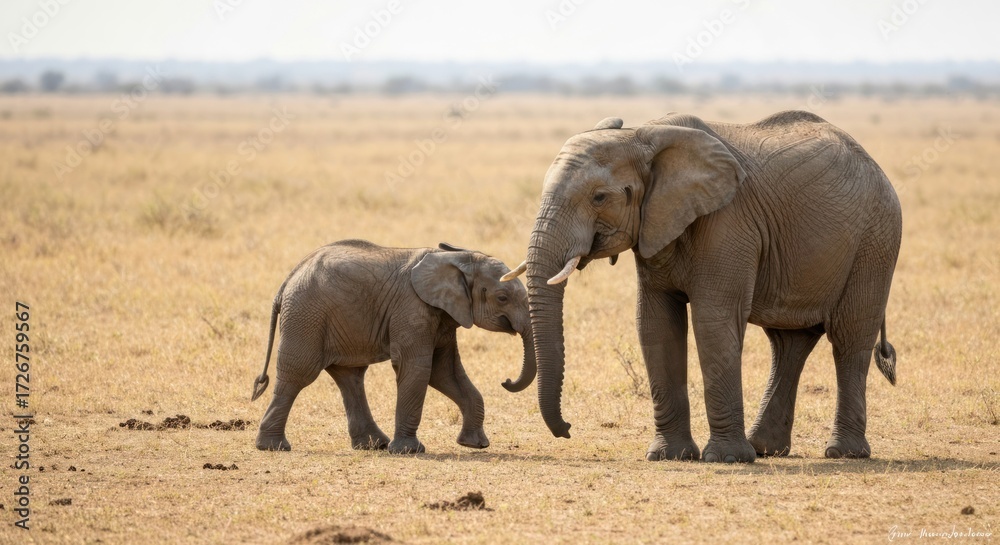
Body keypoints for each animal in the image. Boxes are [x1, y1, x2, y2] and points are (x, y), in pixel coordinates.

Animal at [251, 239, 535, 454]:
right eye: (502, 298)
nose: (506, 380)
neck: (458, 258)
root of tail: (286, 282)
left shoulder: (443, 316)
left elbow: (445, 372)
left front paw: (475, 445)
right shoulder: (412, 309)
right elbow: (418, 368)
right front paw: (409, 451)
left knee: (350, 376)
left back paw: (373, 445)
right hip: (306, 315)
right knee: (300, 373)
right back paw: (273, 447)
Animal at [502, 111, 901, 463]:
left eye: (599, 197)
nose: (567, 429)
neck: (641, 135)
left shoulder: (728, 221)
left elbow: (713, 320)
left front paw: (726, 459)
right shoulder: (656, 225)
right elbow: (656, 325)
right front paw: (668, 456)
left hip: (876, 239)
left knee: (849, 337)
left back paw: (843, 453)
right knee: (789, 343)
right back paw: (765, 449)